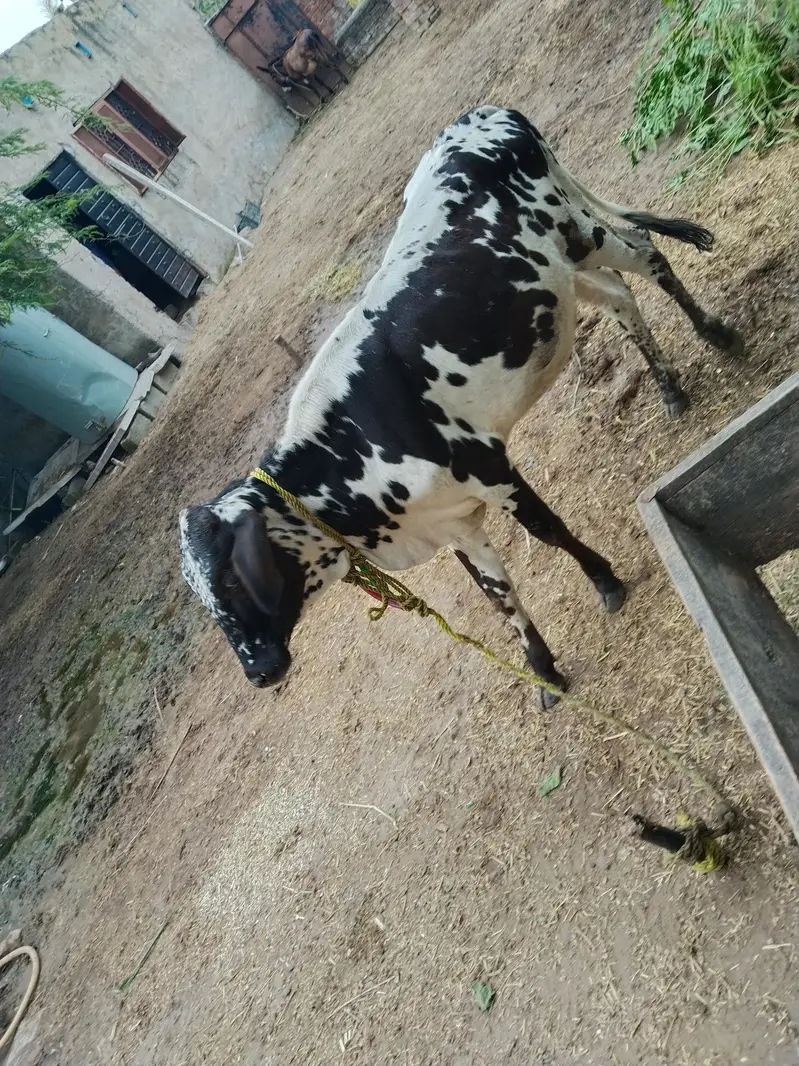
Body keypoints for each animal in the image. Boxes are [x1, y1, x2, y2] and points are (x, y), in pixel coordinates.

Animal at [179, 106, 742, 708]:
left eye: (230, 579)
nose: (258, 670)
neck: (351, 446)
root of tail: (481, 115)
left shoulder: (490, 466)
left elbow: (547, 531)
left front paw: (606, 581)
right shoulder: (452, 523)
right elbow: (495, 592)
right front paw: (543, 670)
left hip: (579, 232)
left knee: (646, 249)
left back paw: (714, 333)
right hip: (558, 278)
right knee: (619, 296)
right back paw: (669, 389)